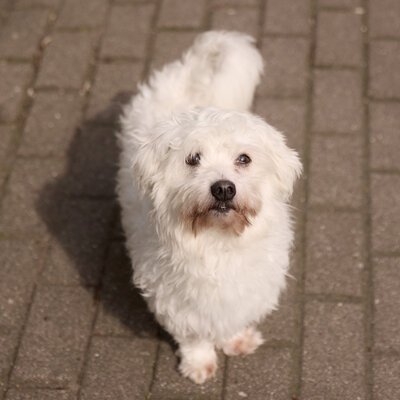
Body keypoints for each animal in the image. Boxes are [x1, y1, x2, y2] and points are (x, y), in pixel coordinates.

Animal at [117, 31, 302, 384]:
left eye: (244, 159)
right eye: (193, 159)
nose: (224, 188)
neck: (218, 240)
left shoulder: (245, 290)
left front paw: (235, 339)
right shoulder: (175, 298)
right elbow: (193, 334)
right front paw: (199, 362)